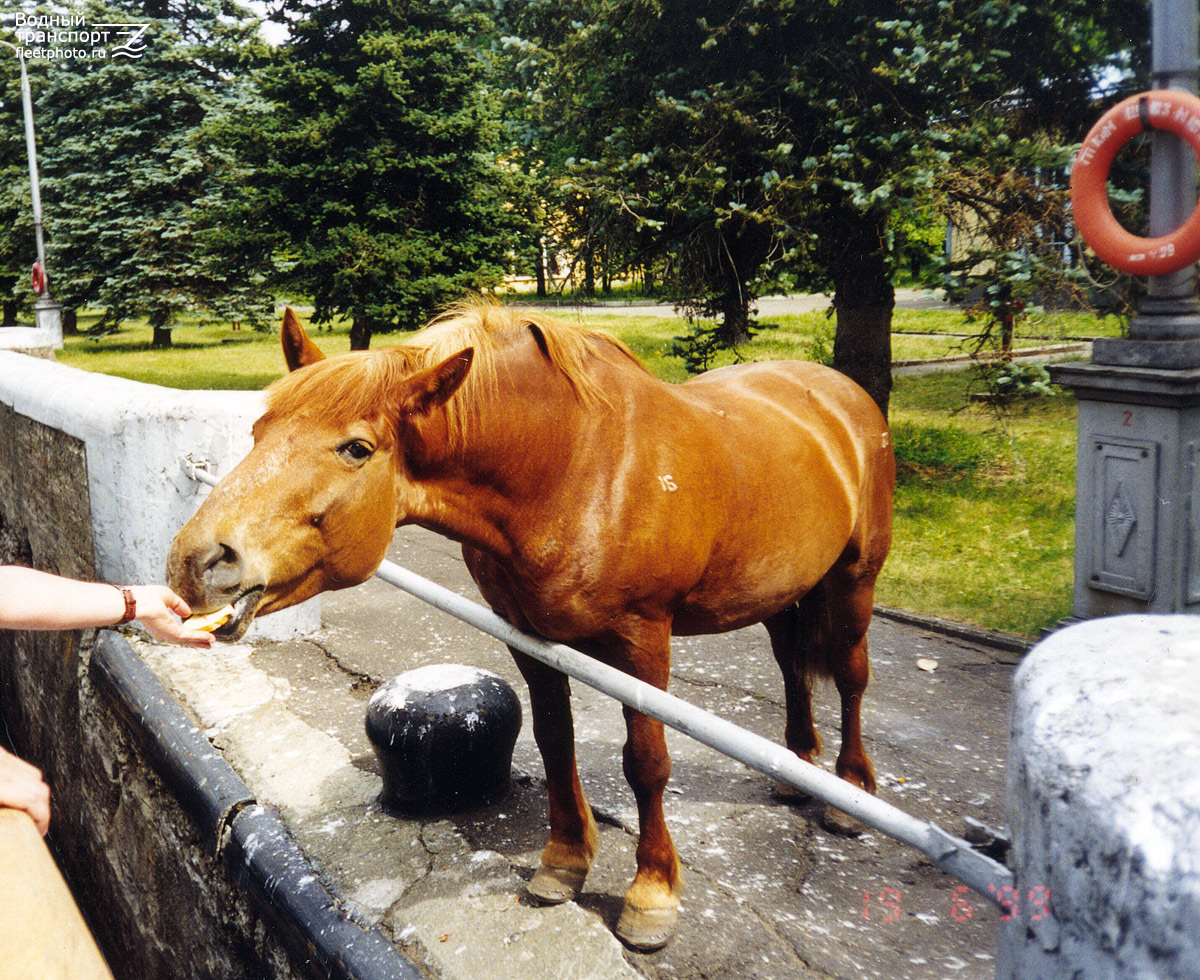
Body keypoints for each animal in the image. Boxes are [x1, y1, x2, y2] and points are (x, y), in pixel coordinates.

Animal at [174, 299, 897, 950]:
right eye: (259, 431)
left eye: (357, 448)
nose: (195, 561)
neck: (575, 468)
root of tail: (840, 393)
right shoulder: (528, 636)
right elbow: (554, 741)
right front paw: (565, 863)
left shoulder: (644, 640)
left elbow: (647, 763)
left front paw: (651, 894)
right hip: (784, 589)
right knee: (792, 665)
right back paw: (795, 767)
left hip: (854, 580)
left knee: (852, 677)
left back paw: (850, 790)